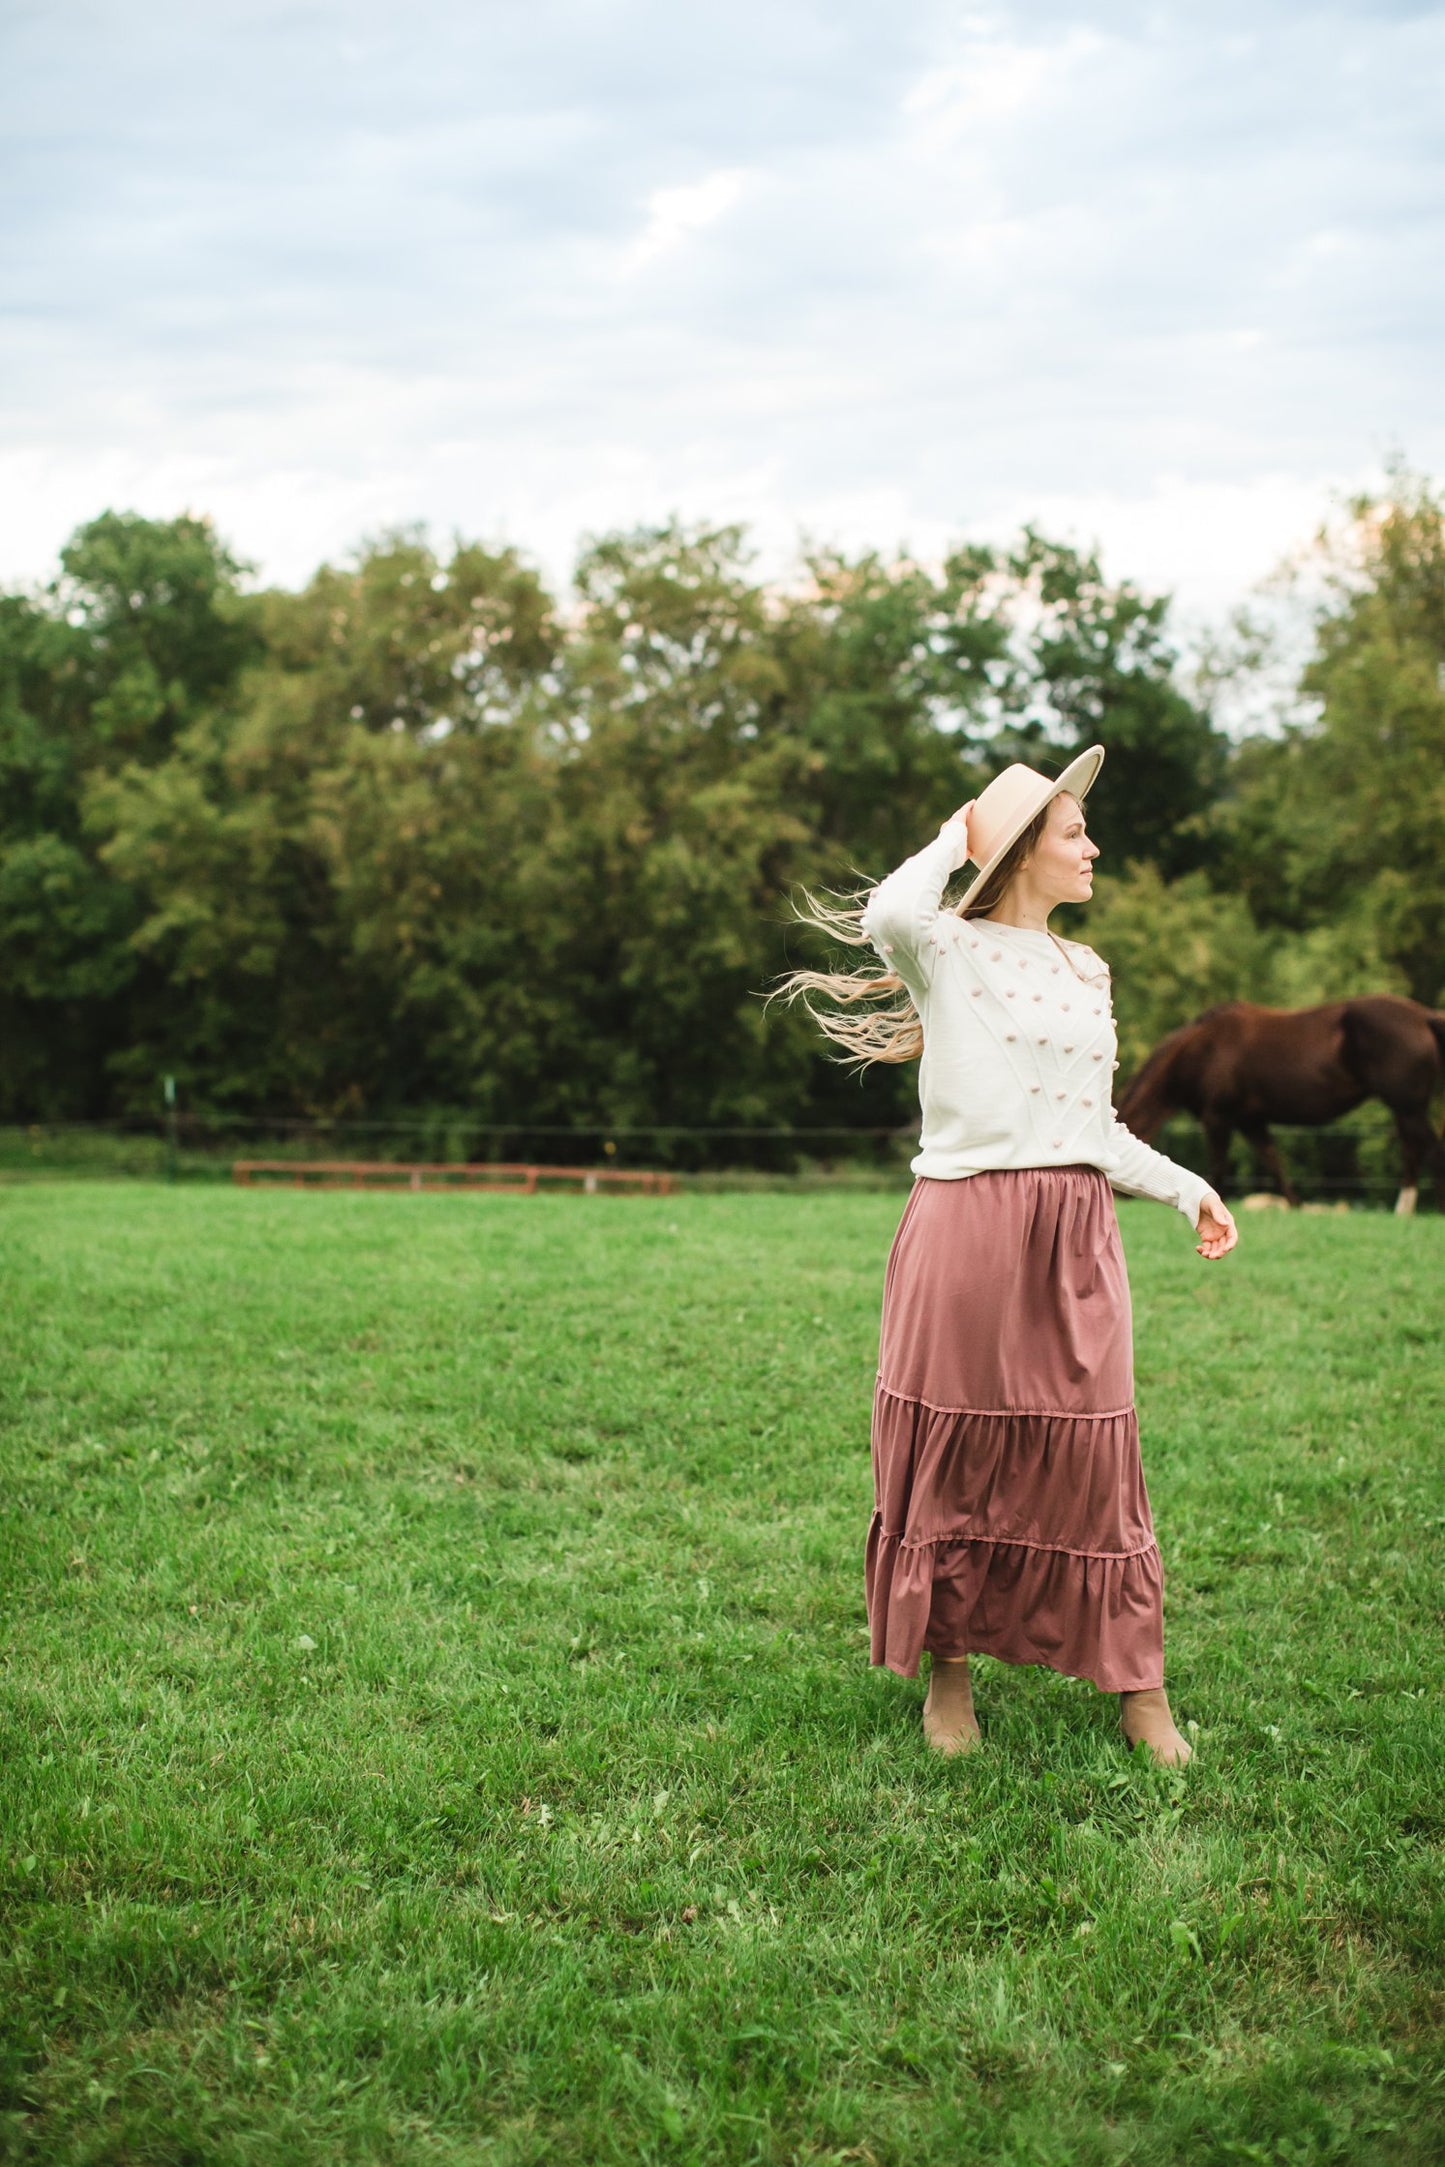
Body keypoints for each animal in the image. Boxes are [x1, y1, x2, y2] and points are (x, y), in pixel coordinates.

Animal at [1117, 996, 1445, 1222]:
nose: (1121, 1196)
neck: (1202, 1049)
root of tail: (1423, 1016)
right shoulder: (1251, 1121)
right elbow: (1273, 1160)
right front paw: (1295, 1204)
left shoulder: (1218, 1117)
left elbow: (1220, 1166)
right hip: (1405, 1110)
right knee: (1414, 1150)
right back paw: (1404, 1209)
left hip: (1407, 1107)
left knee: (1428, 1148)